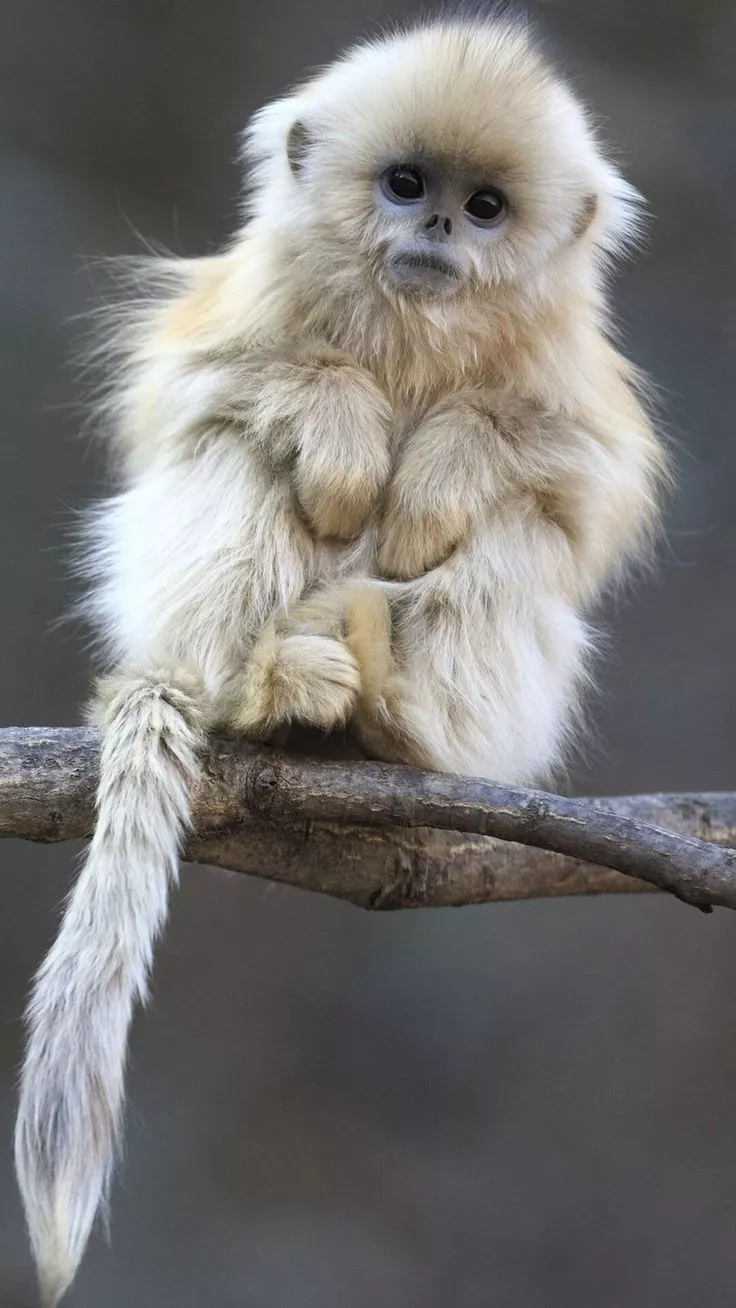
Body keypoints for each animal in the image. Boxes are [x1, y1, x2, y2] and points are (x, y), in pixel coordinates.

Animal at [14, 13, 667, 1303]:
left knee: (514, 536)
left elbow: (574, 482)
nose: (434, 231)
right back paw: (270, 689)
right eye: (406, 185)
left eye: (484, 207)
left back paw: (392, 714)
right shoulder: (236, 308)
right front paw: (348, 433)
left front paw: (435, 474)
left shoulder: (573, 382)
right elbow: (197, 392)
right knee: (234, 452)